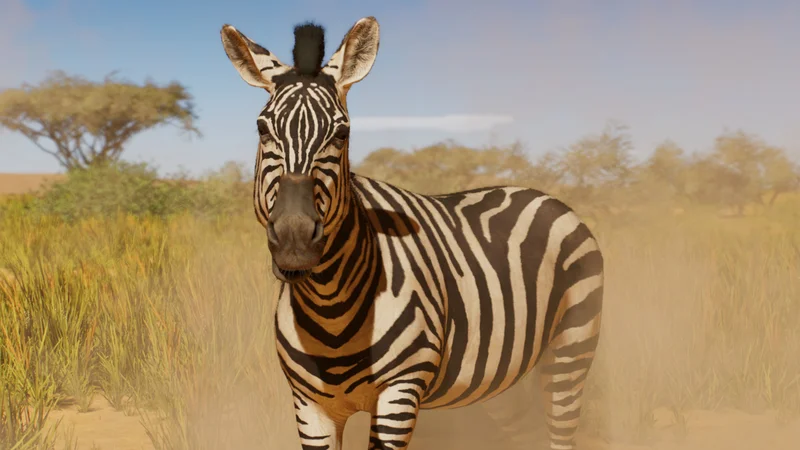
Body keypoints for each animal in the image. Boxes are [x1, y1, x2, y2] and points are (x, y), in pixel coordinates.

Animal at [220, 16, 604, 450]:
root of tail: (545, 195)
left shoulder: (399, 394)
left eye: (341, 134)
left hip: (572, 348)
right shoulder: (310, 406)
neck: (329, 303)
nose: (294, 240)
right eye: (262, 129)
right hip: (504, 372)